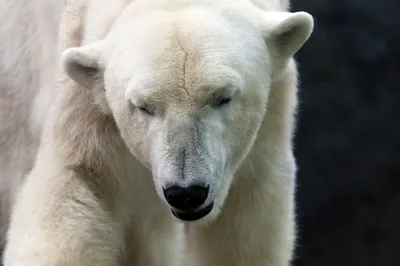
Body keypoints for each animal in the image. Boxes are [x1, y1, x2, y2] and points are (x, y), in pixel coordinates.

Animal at [0, 0, 312, 264]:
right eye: (144, 106)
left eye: (223, 97)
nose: (186, 193)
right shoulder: (87, 110)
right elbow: (77, 190)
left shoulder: (271, 116)